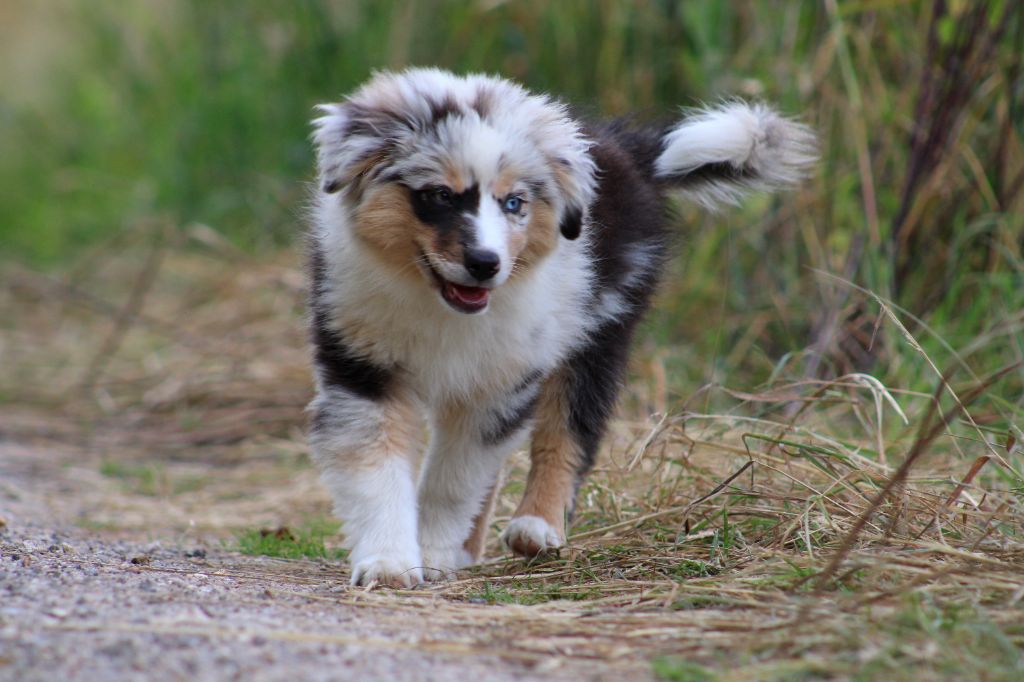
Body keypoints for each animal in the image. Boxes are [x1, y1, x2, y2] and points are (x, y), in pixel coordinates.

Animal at [307, 68, 813, 587]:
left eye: (514, 203)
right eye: (440, 195)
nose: (486, 264)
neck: (439, 306)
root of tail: (625, 150)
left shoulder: (508, 375)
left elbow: (456, 477)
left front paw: (430, 551)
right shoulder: (364, 364)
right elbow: (379, 469)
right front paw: (389, 562)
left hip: (598, 332)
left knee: (568, 434)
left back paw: (537, 526)